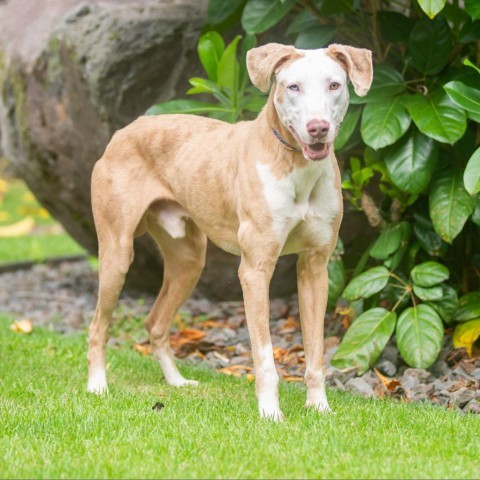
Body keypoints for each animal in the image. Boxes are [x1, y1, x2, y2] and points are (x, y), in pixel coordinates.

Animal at [86, 43, 374, 422]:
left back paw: (176, 381)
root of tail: (125, 130)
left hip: (189, 262)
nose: (318, 128)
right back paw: (97, 386)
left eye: (335, 85)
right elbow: (264, 357)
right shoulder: (255, 270)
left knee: (156, 323)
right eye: (293, 86)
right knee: (97, 326)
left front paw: (319, 406)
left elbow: (314, 354)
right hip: (117, 255)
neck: (296, 167)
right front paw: (269, 412)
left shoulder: (315, 268)